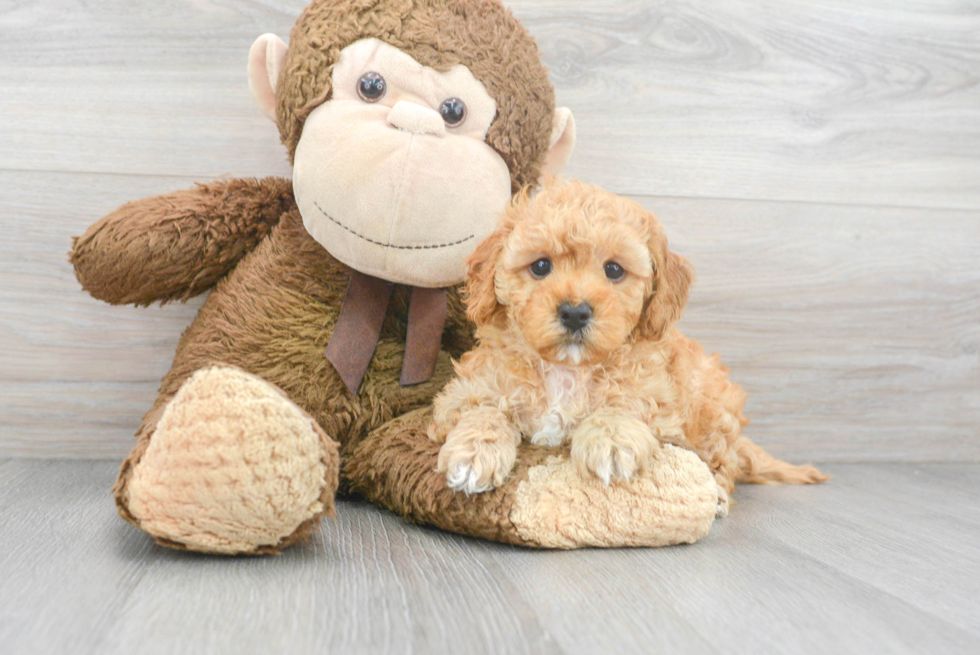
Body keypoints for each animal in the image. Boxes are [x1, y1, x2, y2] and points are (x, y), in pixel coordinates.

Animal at [430, 178, 828, 512]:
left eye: (614, 270)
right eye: (540, 266)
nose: (575, 312)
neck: (567, 369)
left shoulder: (661, 403)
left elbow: (625, 402)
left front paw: (610, 441)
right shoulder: (465, 392)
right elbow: (483, 409)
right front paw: (473, 453)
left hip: (714, 406)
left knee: (723, 461)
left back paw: (714, 493)